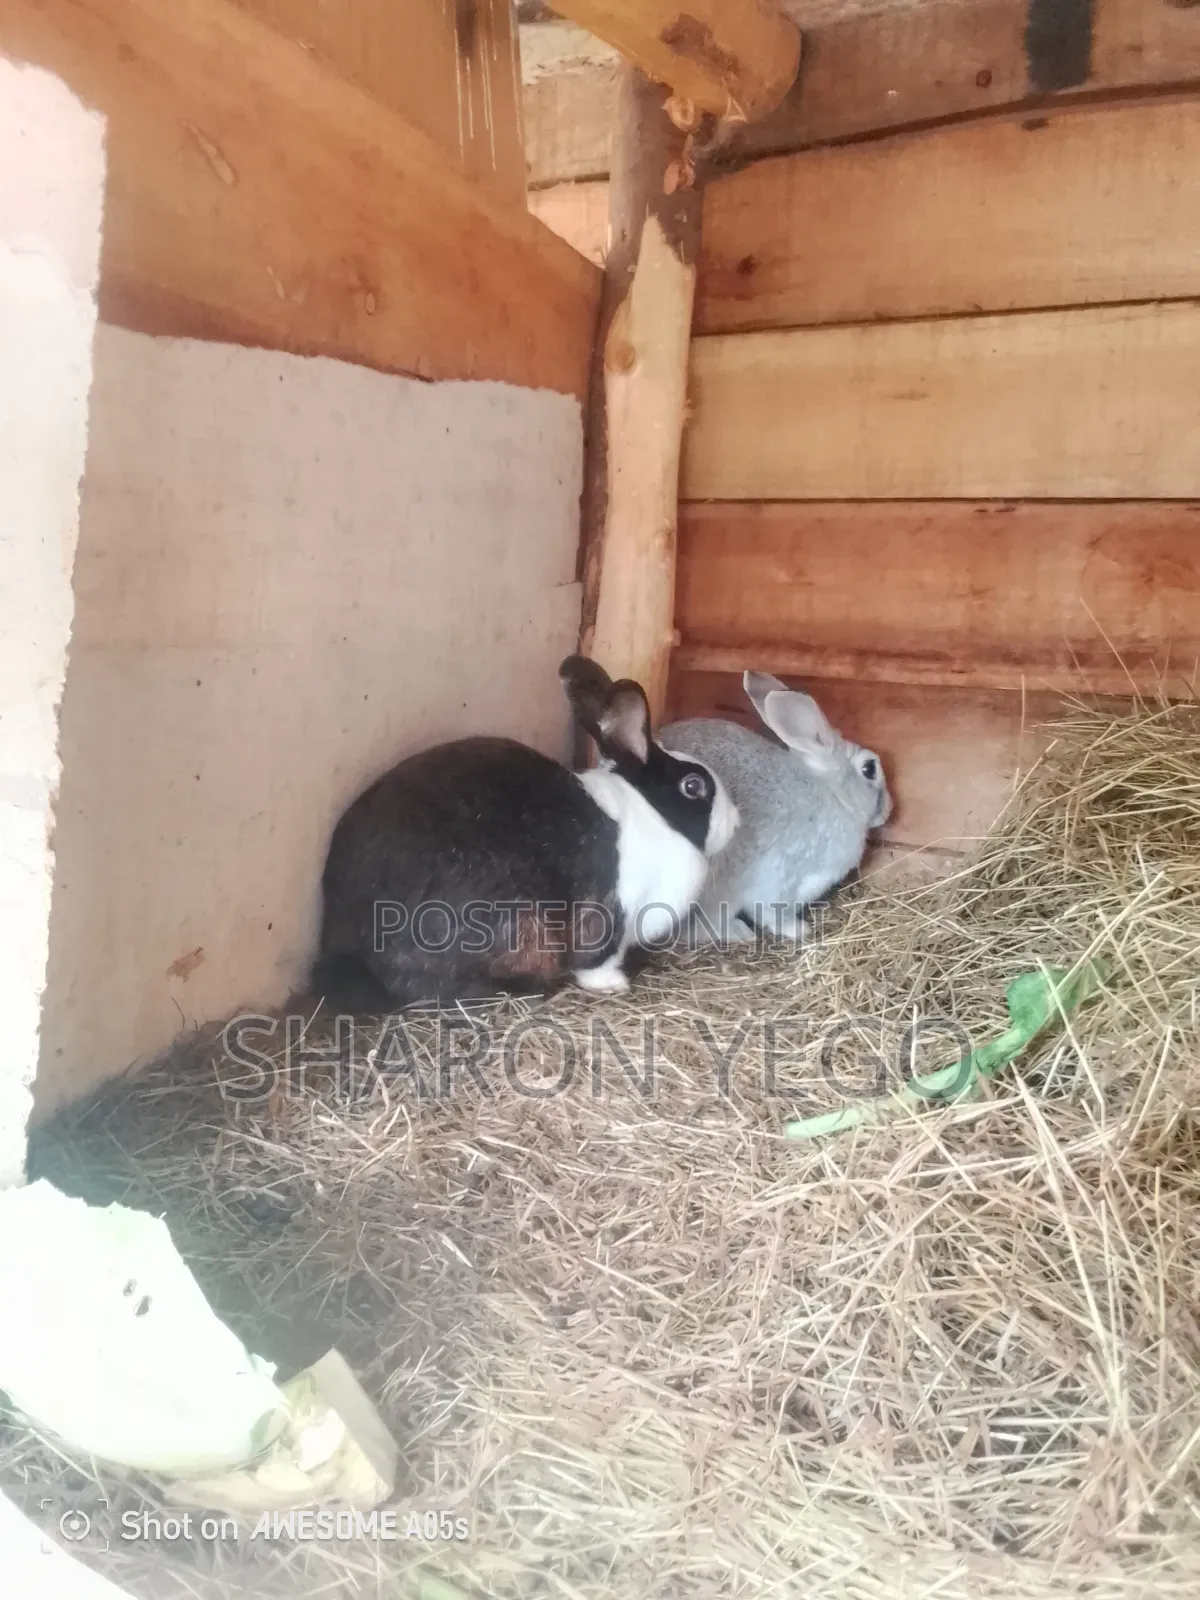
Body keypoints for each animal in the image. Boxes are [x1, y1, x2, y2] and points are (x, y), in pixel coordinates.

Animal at [309, 655, 739, 1012]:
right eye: (693, 786)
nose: (736, 821)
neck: (653, 813)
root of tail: (347, 946)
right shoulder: (611, 917)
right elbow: (595, 961)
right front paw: (613, 985)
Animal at [659, 671, 891, 946]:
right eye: (869, 768)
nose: (888, 810)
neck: (834, 795)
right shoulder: (783, 874)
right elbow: (771, 911)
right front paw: (799, 929)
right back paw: (739, 932)